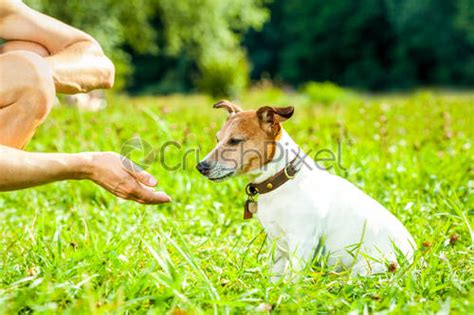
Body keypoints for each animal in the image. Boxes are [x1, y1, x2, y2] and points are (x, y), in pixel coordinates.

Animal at [196, 100, 414, 282]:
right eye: (217, 139)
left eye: (235, 141)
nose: (200, 166)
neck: (281, 179)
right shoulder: (277, 244)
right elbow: (275, 277)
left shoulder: (302, 242)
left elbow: (292, 280)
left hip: (365, 268)